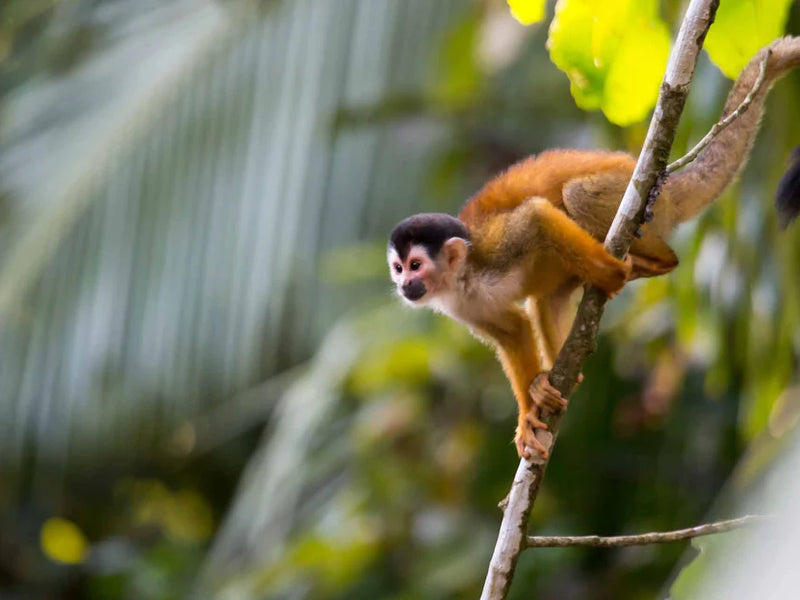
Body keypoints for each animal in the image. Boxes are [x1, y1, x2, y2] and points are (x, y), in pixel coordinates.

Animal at [388, 37, 800, 460]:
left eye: (416, 265)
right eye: (398, 268)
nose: (404, 286)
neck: (462, 277)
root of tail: (665, 182)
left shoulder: (494, 246)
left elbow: (535, 216)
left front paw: (612, 274)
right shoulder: (460, 307)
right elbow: (511, 330)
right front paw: (528, 411)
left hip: (632, 193)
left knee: (577, 194)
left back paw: (652, 262)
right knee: (546, 300)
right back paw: (558, 378)